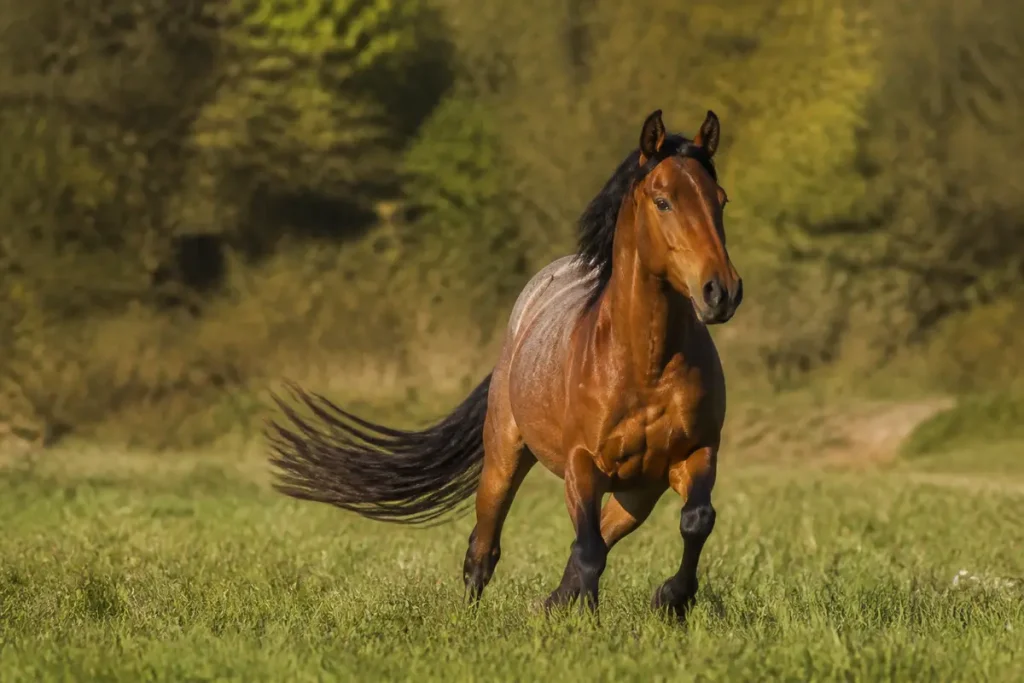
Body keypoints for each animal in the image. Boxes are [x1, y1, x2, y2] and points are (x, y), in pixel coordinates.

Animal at [267, 108, 743, 620]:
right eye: (662, 201)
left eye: (720, 199)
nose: (722, 291)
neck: (645, 365)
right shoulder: (581, 465)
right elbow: (588, 550)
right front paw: (592, 619)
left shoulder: (696, 453)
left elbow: (695, 521)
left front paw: (671, 598)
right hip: (504, 457)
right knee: (486, 546)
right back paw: (477, 614)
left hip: (639, 491)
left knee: (602, 534)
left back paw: (553, 603)